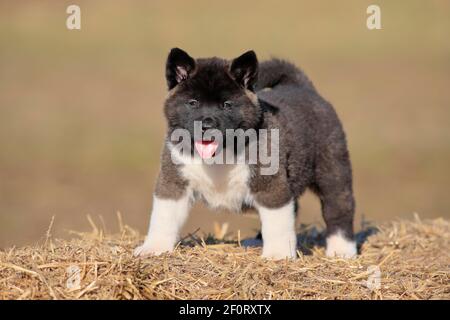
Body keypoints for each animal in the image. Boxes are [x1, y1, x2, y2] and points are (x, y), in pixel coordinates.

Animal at [134, 49, 356, 260]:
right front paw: (154, 247)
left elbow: (277, 222)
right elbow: (164, 216)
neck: (221, 154)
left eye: (226, 104)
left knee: (338, 209)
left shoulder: (270, 186)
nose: (206, 126)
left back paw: (342, 249)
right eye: (193, 102)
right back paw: (257, 241)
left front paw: (278, 254)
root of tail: (303, 87)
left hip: (332, 171)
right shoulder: (173, 181)